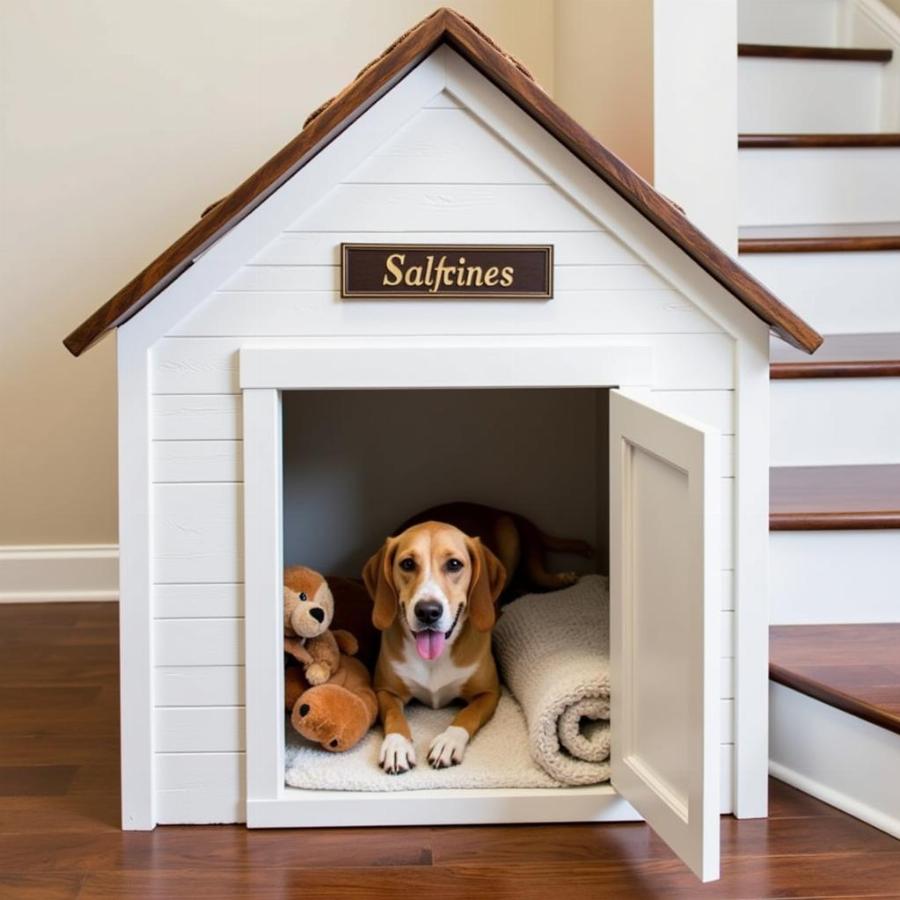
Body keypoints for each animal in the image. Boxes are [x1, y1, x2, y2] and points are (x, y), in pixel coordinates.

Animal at [364, 520, 506, 772]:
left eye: (454, 564)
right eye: (408, 564)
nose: (428, 611)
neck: (434, 659)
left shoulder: (489, 692)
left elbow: (468, 713)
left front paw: (449, 741)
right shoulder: (384, 690)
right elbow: (393, 715)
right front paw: (397, 745)